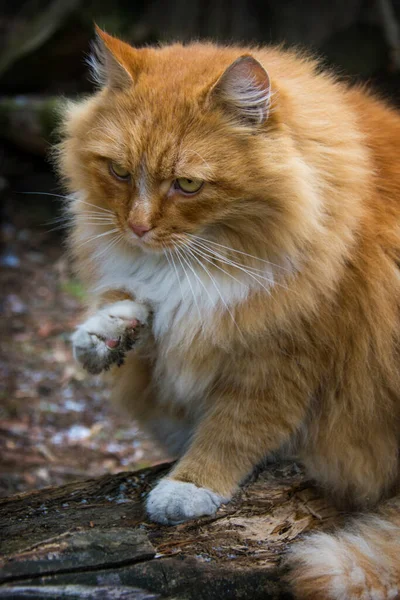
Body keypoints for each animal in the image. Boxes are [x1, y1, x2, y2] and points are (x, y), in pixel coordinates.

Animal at [57, 27, 400, 600]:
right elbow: (131, 308)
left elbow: (233, 430)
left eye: (188, 185)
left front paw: (188, 488)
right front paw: (107, 334)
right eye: (120, 172)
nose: (137, 228)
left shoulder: (283, 358)